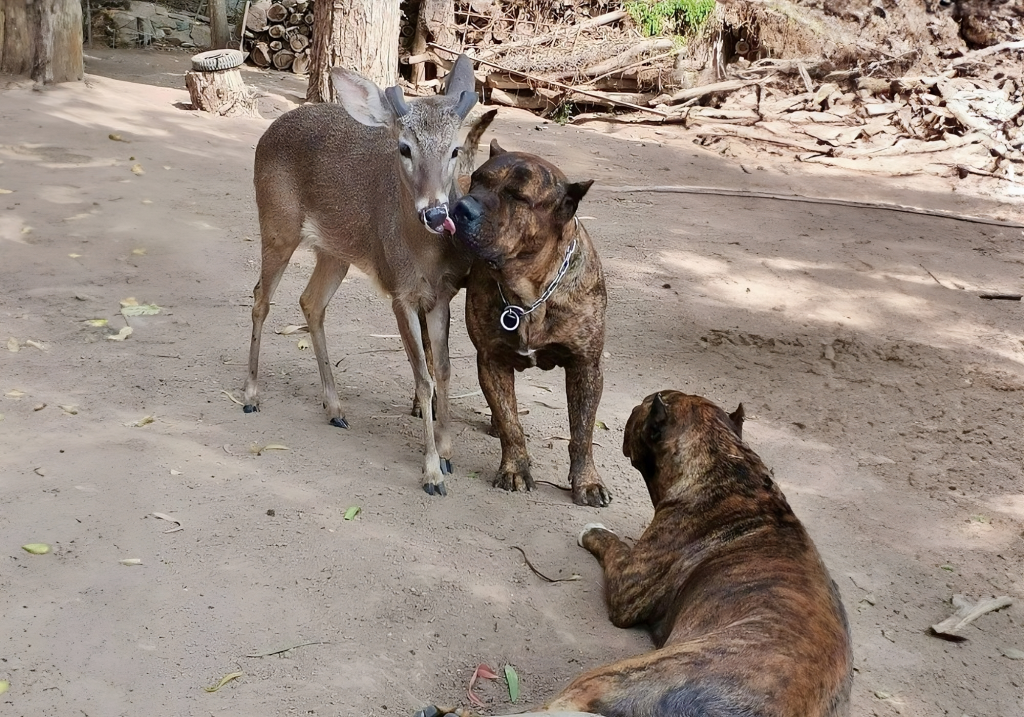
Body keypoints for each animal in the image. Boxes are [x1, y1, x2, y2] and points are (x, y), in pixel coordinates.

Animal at [242, 55, 493, 497]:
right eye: (405, 147)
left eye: (455, 149)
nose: (435, 212)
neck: (422, 257)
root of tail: (270, 130)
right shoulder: (399, 293)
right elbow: (423, 377)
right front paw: (431, 472)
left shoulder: (441, 297)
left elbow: (444, 370)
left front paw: (447, 452)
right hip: (277, 225)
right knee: (260, 298)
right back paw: (252, 394)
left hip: (334, 252)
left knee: (310, 302)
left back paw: (335, 407)